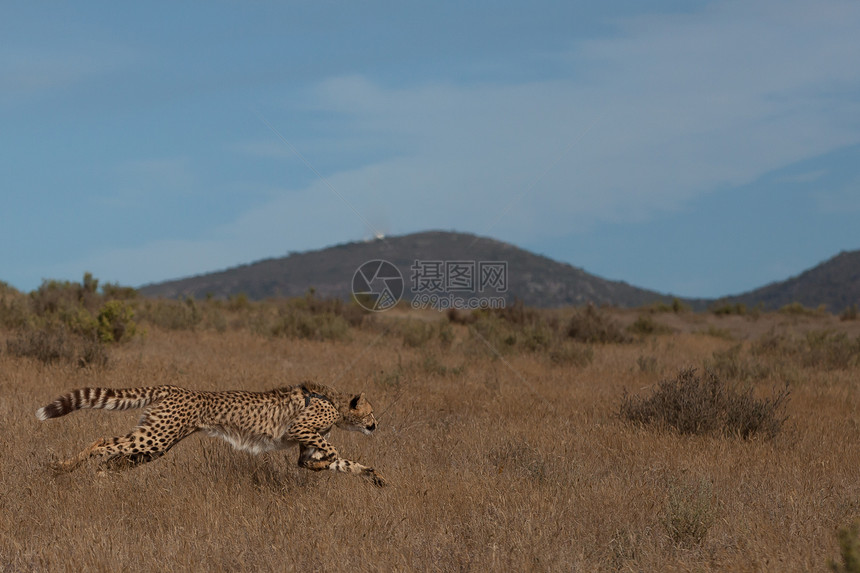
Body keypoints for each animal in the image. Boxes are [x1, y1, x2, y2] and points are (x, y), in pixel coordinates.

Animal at [35, 382, 388, 484]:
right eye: (371, 413)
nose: (376, 425)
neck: (336, 404)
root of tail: (174, 388)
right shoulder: (300, 428)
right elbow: (333, 451)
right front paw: (332, 459)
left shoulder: (304, 445)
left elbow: (334, 463)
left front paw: (375, 476)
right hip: (158, 436)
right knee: (103, 442)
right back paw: (62, 468)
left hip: (156, 443)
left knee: (114, 458)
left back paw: (99, 478)